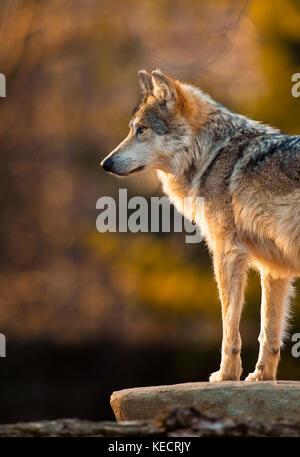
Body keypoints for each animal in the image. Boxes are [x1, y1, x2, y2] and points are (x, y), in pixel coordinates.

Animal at [101, 70, 300, 382]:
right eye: (132, 129)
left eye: (142, 130)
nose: (105, 163)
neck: (210, 154)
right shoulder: (274, 268)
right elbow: (268, 332)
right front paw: (261, 378)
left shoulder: (226, 253)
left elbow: (229, 326)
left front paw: (226, 374)